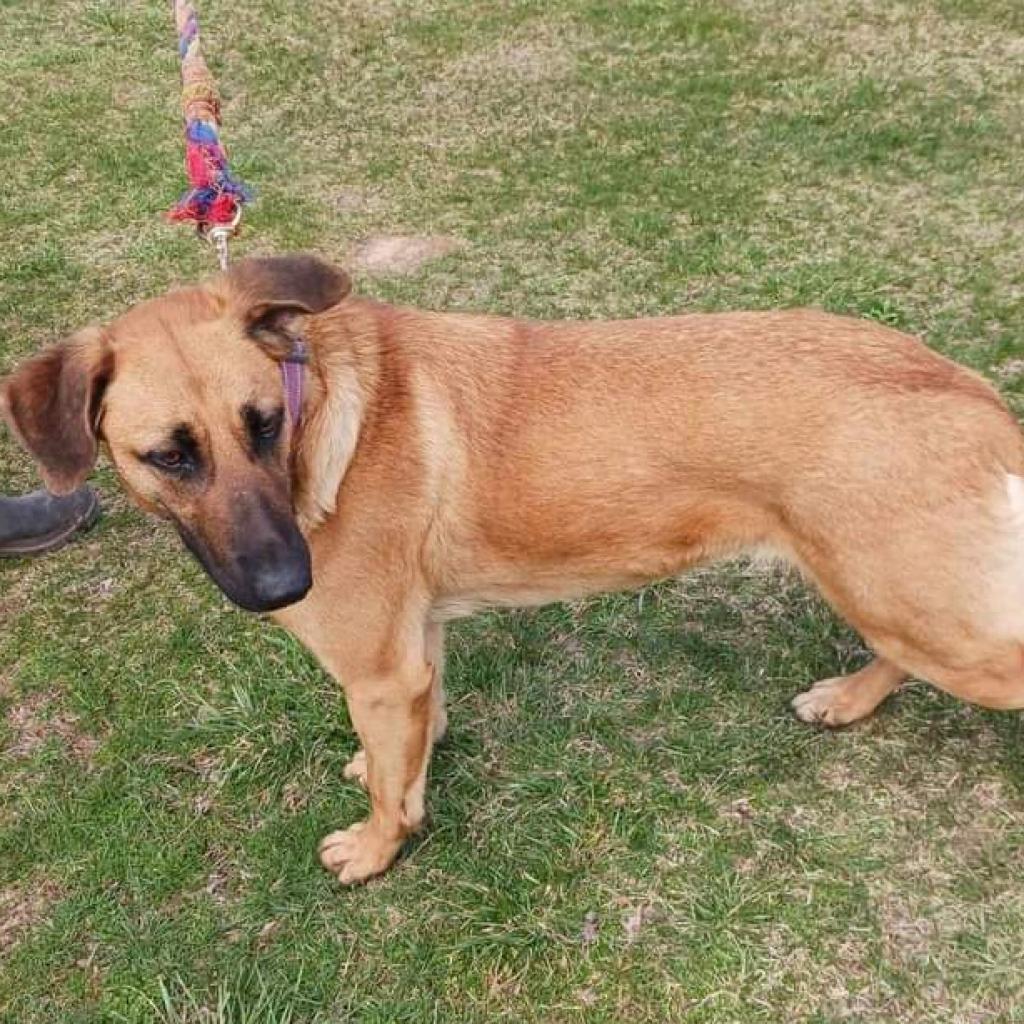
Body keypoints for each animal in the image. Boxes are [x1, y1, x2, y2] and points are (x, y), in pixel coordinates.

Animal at [6, 253, 1024, 880]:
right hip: (892, 599)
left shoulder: (378, 668)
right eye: (168, 456)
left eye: (265, 423)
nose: (285, 586)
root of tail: (972, 392)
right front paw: (396, 773)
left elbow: (392, 794)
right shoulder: (413, 650)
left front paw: (376, 850)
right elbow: (412, 748)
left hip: (919, 608)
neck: (327, 406)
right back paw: (847, 700)